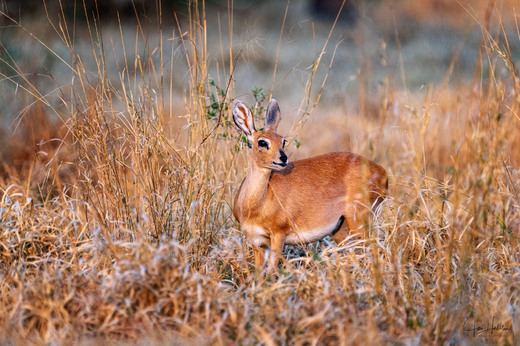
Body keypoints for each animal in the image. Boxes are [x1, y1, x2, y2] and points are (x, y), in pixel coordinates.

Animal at [232, 98, 386, 272]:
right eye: (262, 142)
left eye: (283, 140)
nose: (283, 158)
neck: (254, 206)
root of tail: (382, 172)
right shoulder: (257, 242)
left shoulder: (278, 235)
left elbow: (271, 270)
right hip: (339, 230)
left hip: (360, 222)